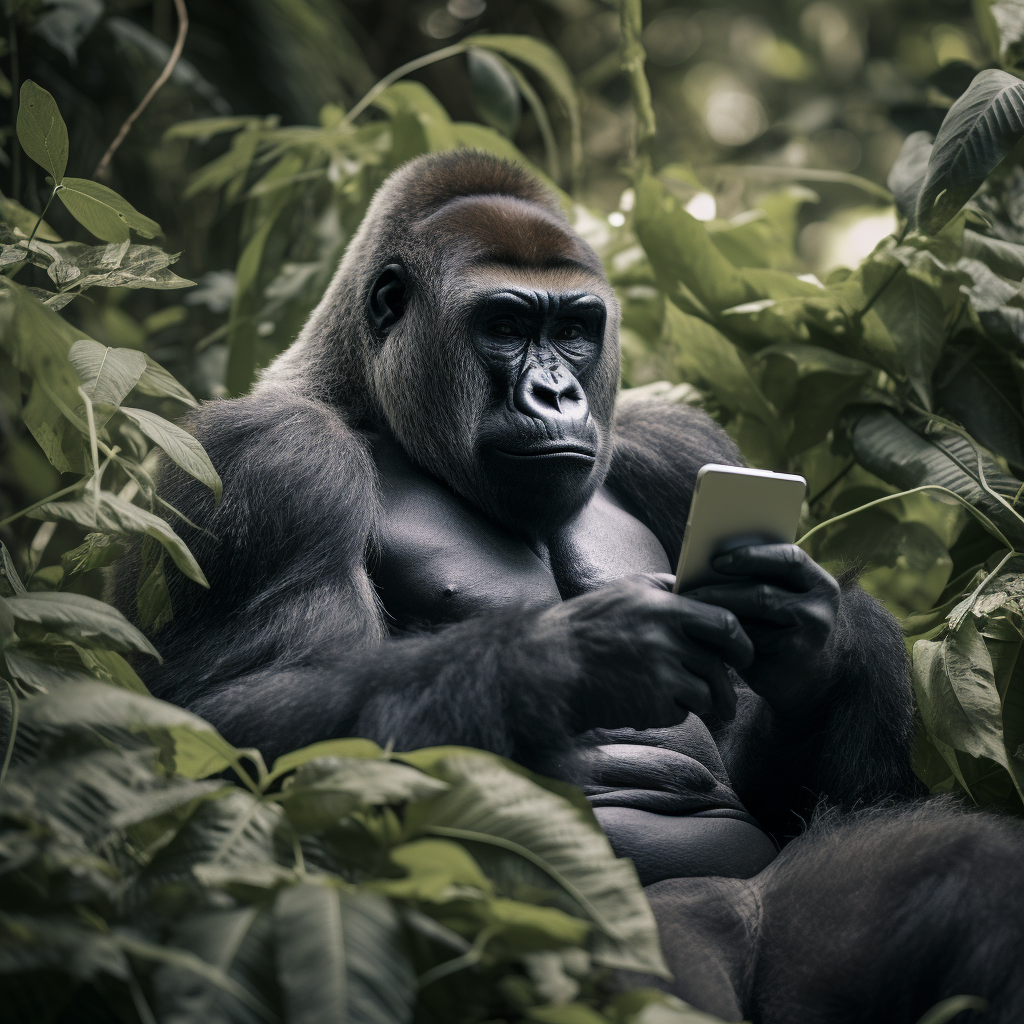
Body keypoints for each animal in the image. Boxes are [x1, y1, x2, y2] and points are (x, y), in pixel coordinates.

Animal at [113, 151, 1024, 1022]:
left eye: (577, 329)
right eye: (507, 325)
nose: (557, 393)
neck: (368, 402)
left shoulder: (677, 443)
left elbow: (825, 793)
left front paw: (816, 645)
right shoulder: (266, 460)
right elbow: (231, 725)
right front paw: (581, 656)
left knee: (971, 870)